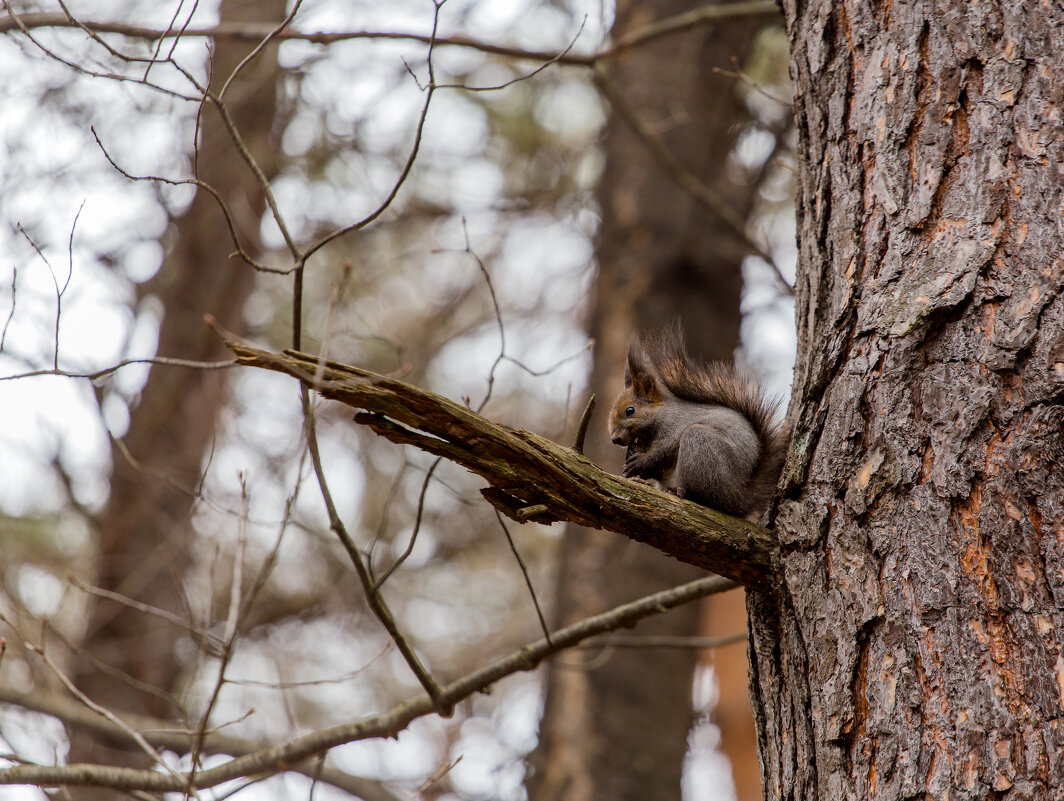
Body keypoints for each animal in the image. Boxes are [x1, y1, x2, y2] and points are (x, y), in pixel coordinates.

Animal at [608, 325, 791, 519]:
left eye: (630, 411)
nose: (614, 439)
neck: (661, 413)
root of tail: (740, 497)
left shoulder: (674, 427)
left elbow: (664, 450)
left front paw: (640, 462)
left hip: (701, 446)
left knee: (711, 498)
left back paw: (686, 493)